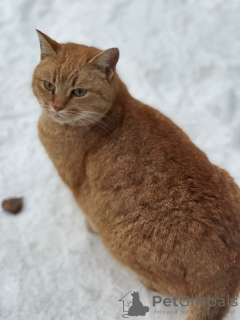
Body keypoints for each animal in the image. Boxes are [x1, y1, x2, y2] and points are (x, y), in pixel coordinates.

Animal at [31, 30, 240, 320]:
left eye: (79, 91)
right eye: (49, 85)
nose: (57, 106)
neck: (115, 111)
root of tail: (228, 270)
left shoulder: (76, 187)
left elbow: (86, 212)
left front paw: (89, 226)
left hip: (118, 241)